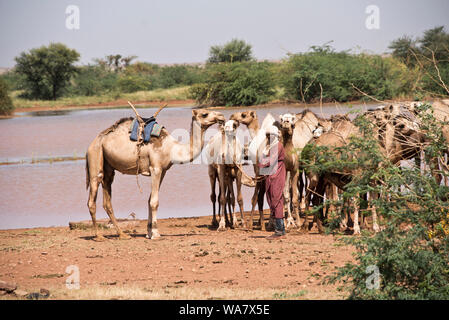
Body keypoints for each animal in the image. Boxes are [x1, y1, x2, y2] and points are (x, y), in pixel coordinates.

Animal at [85, 108, 224, 240]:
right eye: (205, 114)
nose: (221, 116)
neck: (172, 149)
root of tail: (95, 141)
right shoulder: (155, 168)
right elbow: (154, 201)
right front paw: (156, 234)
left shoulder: (163, 171)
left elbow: (149, 200)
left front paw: (149, 233)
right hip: (95, 156)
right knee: (92, 196)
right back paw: (99, 236)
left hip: (108, 167)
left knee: (107, 200)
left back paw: (123, 235)